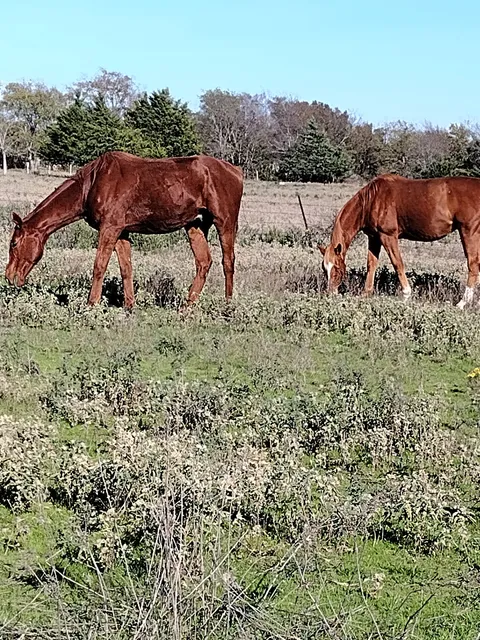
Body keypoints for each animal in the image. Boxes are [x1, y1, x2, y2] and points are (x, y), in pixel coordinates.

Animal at [5, 151, 244, 308]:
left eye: (14, 243)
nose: (9, 276)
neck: (92, 183)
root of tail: (236, 171)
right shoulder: (122, 232)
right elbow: (126, 268)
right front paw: (130, 306)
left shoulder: (109, 229)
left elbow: (99, 266)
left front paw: (91, 304)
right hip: (195, 226)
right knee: (203, 262)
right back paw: (186, 308)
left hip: (225, 222)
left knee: (227, 262)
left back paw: (228, 305)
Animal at [319, 173, 480, 309]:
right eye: (324, 268)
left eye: (337, 267)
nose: (331, 293)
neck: (372, 200)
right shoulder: (374, 238)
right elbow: (371, 264)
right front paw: (366, 294)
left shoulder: (388, 236)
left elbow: (397, 263)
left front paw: (406, 295)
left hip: (469, 232)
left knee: (473, 265)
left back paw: (462, 303)